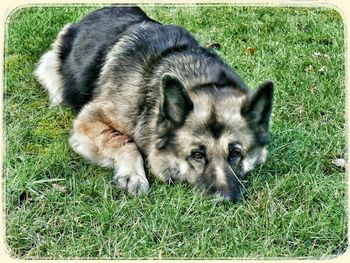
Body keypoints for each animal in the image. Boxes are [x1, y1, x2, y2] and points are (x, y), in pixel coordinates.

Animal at [34, 7, 274, 203]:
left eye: (235, 153)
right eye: (197, 155)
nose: (226, 200)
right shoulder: (89, 119)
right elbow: (124, 140)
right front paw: (133, 175)